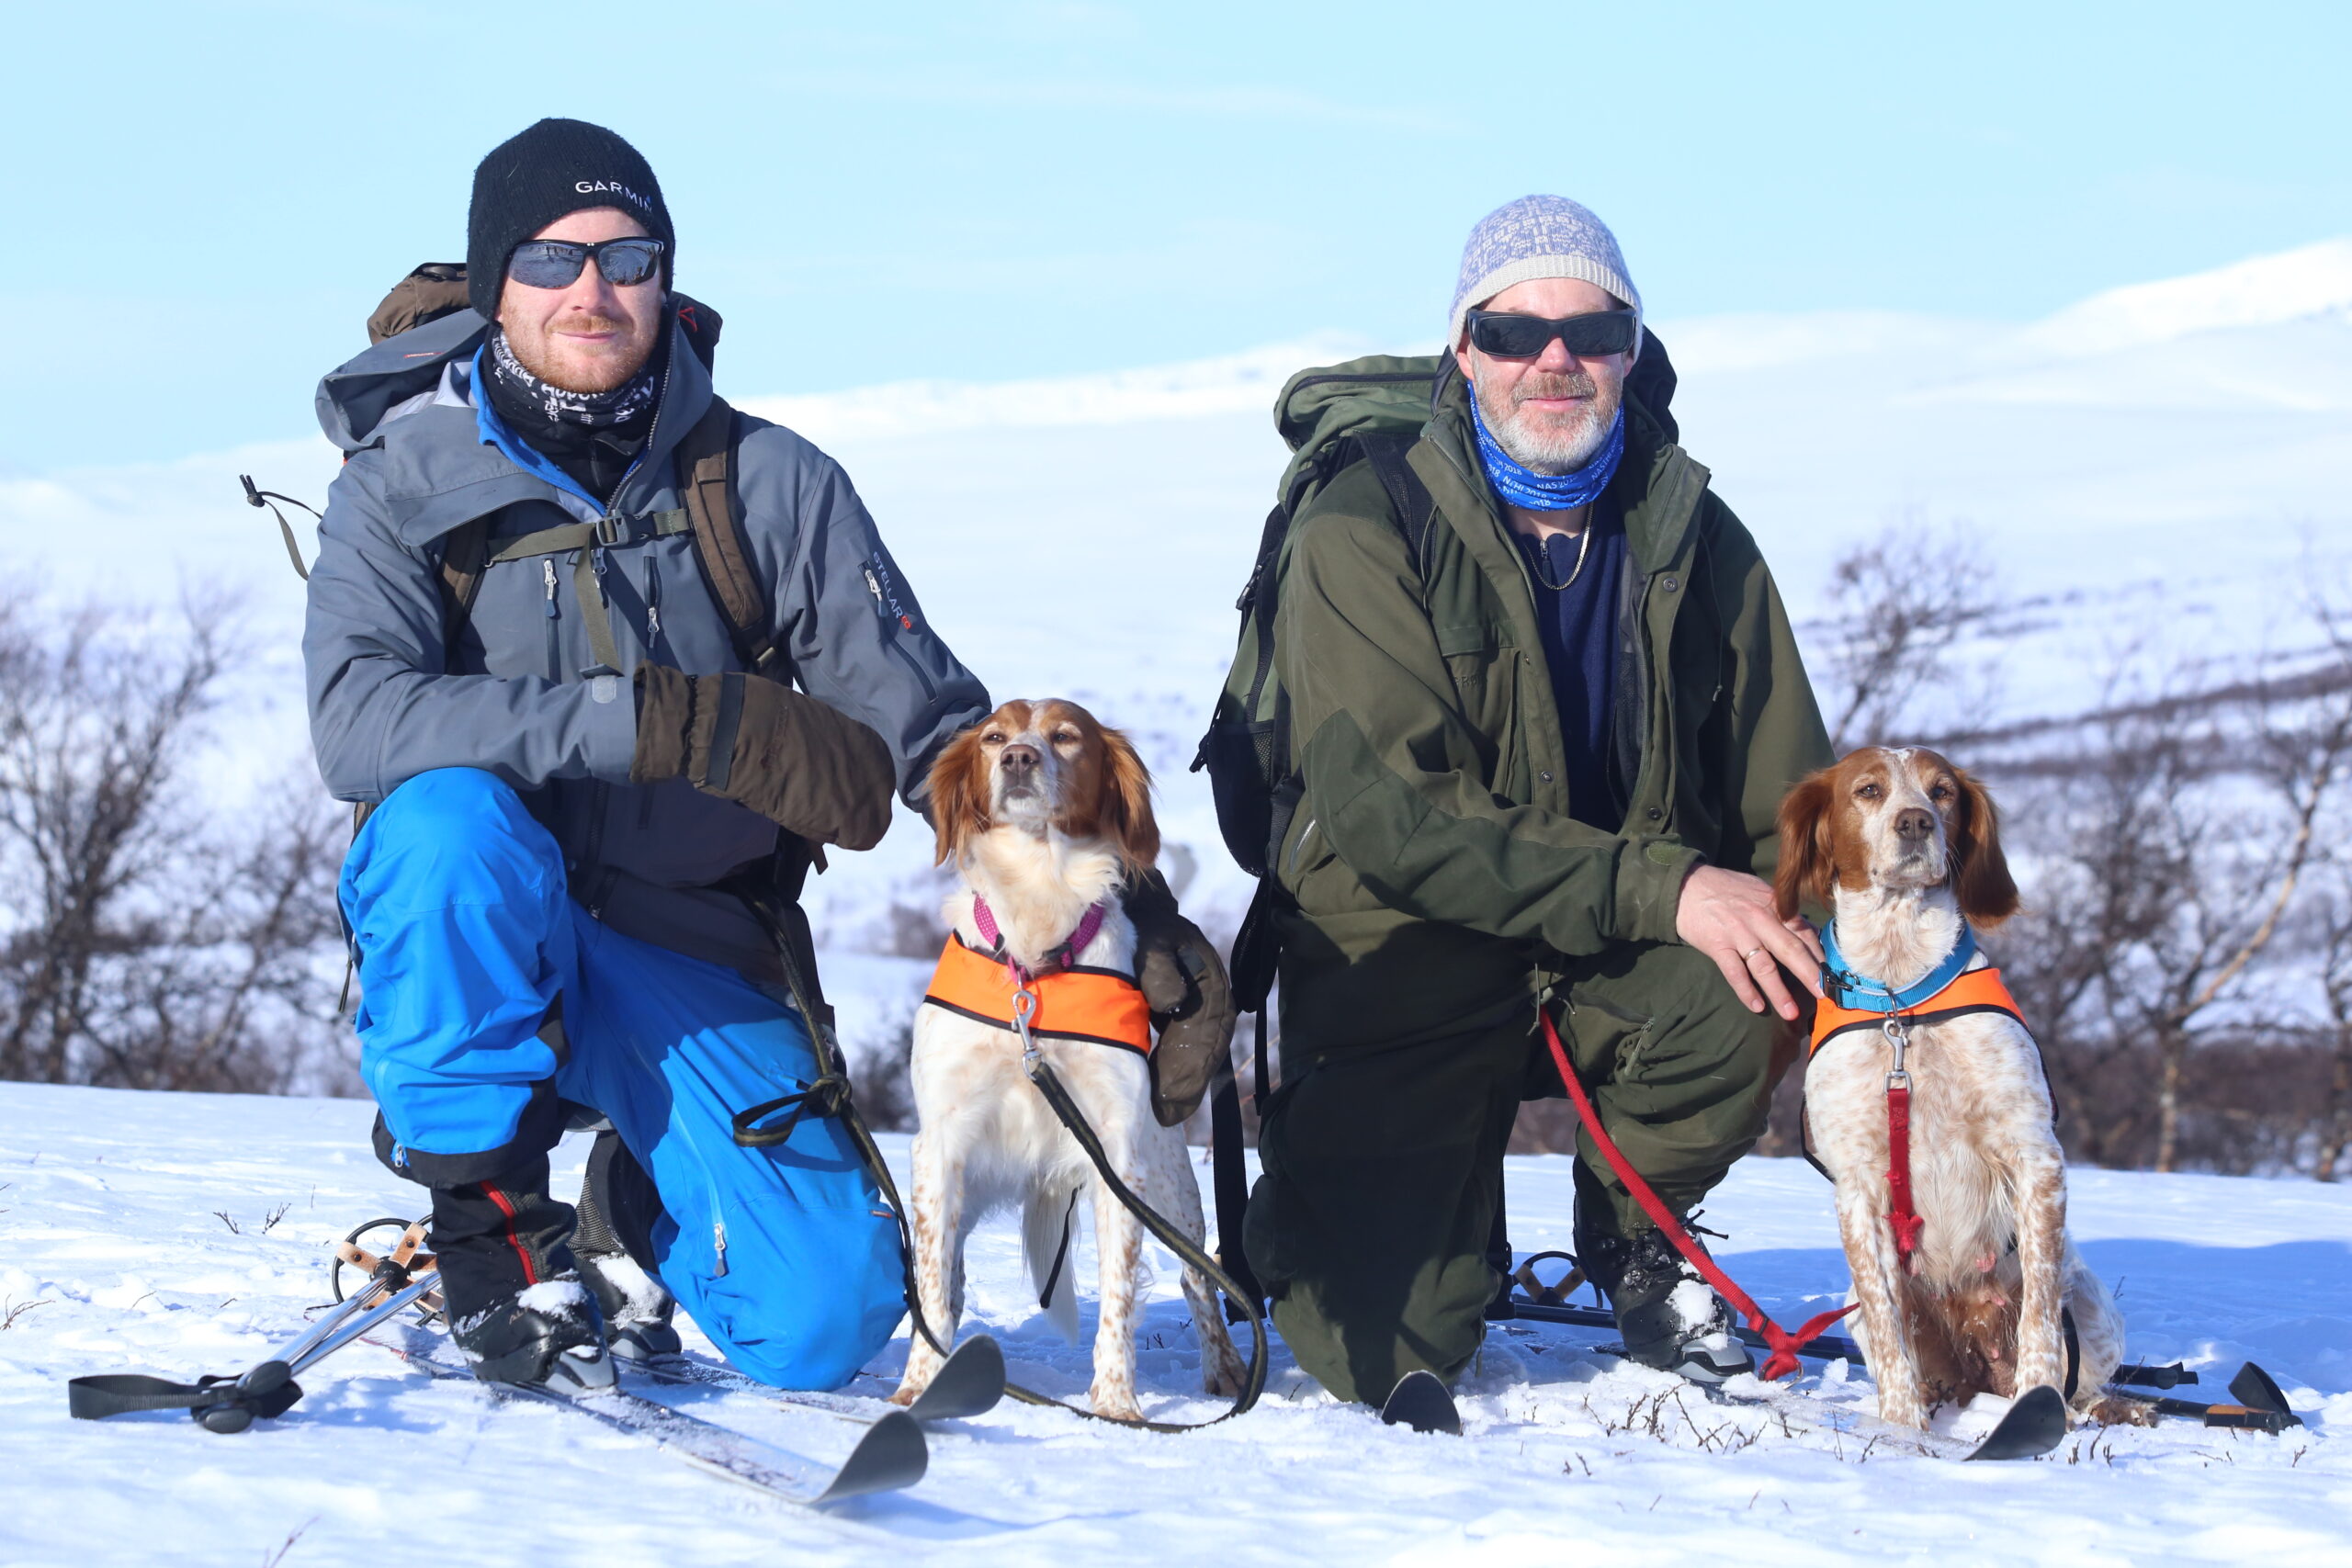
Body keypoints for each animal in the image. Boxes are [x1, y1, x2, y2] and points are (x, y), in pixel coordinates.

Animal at [888, 700, 1250, 1419]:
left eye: (1065, 736)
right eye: (994, 736)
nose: (1018, 758)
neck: (1035, 951)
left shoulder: (1118, 1154)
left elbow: (1119, 1295)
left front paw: (1115, 1404)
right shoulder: (941, 1144)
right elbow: (933, 1283)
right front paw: (919, 1385)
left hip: (1170, 1188)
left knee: (1198, 1279)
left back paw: (1225, 1370)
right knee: (953, 1271)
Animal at [1778, 751, 2135, 1429]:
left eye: (1942, 791)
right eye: (1868, 790)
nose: (1916, 821)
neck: (1902, 998)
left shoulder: (2036, 1158)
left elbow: (2041, 1320)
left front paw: (2037, 1410)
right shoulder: (1857, 1190)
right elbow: (1890, 1331)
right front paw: (1901, 1432)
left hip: (2093, 1303)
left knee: (2083, 1372)